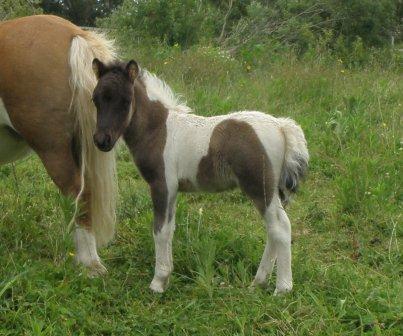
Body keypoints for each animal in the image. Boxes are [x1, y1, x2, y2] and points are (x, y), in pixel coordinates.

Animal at [92, 59, 310, 294]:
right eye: (95, 99)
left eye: (125, 101)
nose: (102, 141)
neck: (158, 130)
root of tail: (281, 126)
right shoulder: (172, 190)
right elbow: (170, 228)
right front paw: (166, 277)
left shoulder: (162, 185)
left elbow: (160, 230)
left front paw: (157, 283)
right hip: (273, 190)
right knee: (273, 230)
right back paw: (258, 282)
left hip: (260, 187)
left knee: (280, 227)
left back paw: (282, 289)